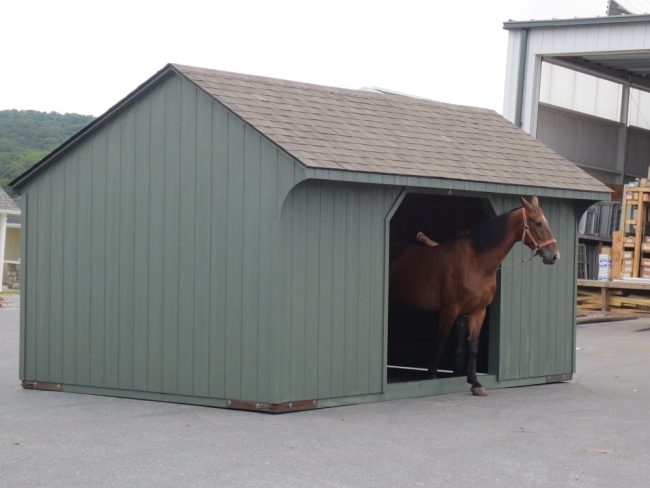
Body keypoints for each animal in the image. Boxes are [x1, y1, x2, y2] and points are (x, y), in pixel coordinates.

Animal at [388, 196, 559, 396]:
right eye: (537, 223)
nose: (554, 255)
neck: (476, 262)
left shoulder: (478, 311)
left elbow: (473, 346)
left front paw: (475, 382)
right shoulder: (450, 309)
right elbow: (440, 339)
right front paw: (431, 375)